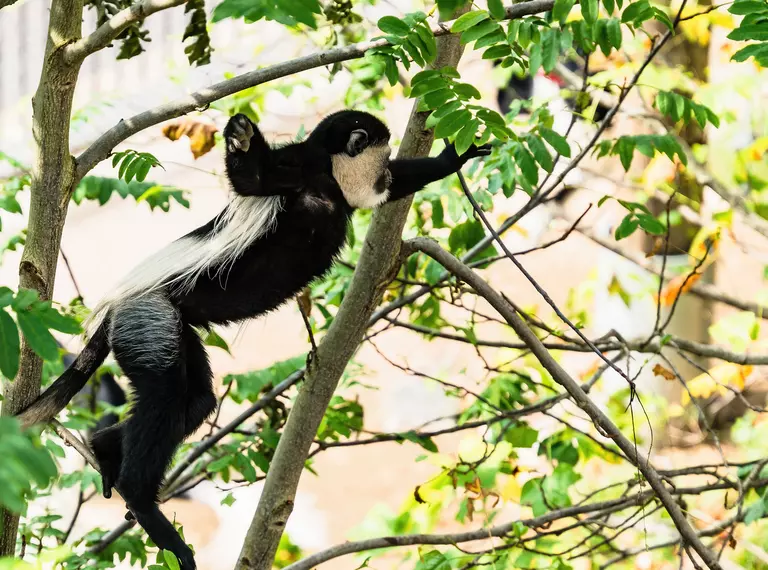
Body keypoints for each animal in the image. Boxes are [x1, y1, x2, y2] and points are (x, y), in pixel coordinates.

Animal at [22, 108, 492, 564]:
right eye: (382, 159)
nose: (384, 178)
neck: (328, 180)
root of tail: (117, 311)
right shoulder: (295, 168)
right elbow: (253, 178)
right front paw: (243, 138)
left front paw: (453, 157)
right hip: (148, 319)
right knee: (165, 398)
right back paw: (144, 504)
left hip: (170, 329)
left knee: (195, 401)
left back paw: (106, 449)